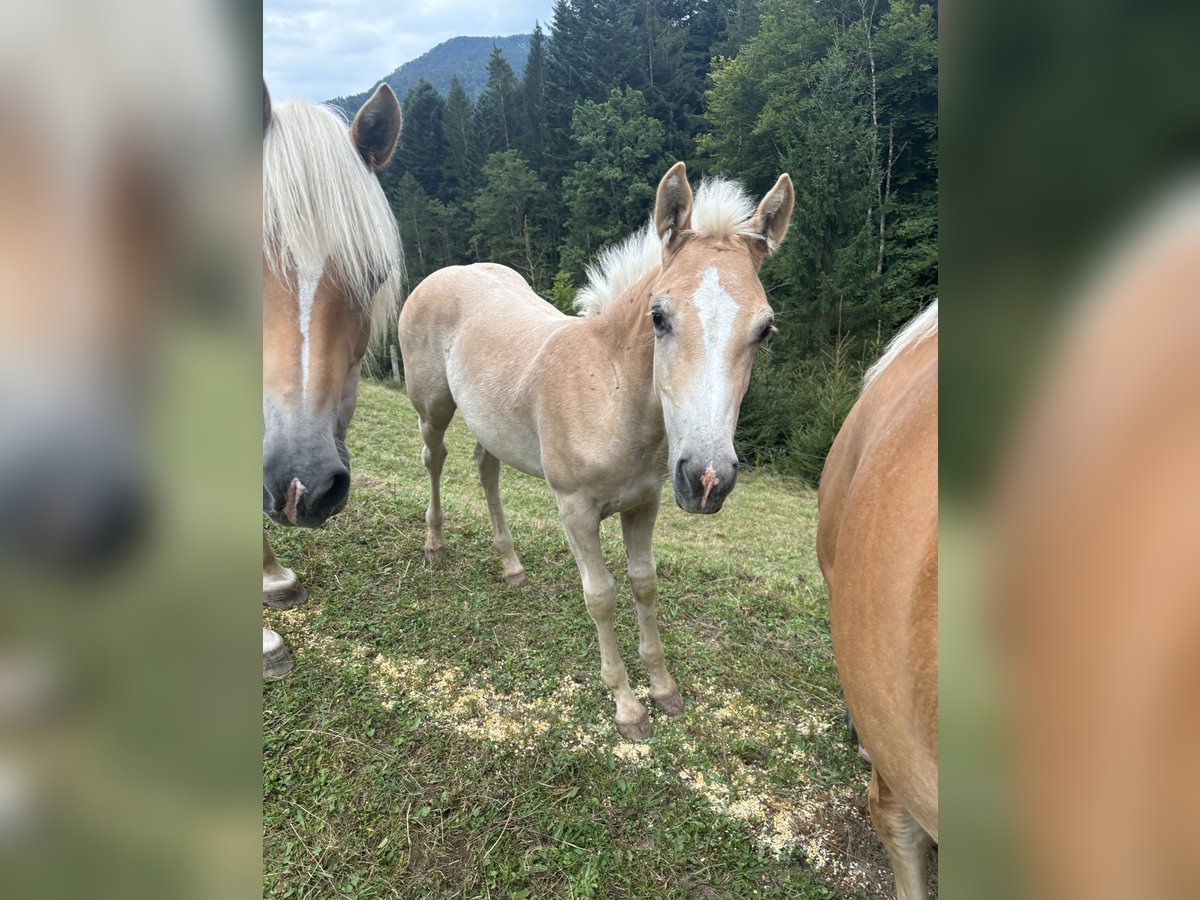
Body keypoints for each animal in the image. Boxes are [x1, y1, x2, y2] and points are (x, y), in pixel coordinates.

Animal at [400, 164, 796, 739]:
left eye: (765, 329)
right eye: (659, 316)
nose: (706, 479)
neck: (609, 397)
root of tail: (446, 273)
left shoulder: (645, 503)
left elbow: (644, 584)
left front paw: (664, 689)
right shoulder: (575, 510)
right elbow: (602, 595)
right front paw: (628, 707)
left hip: (491, 424)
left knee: (486, 471)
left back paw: (511, 566)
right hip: (432, 407)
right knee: (434, 460)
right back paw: (434, 546)